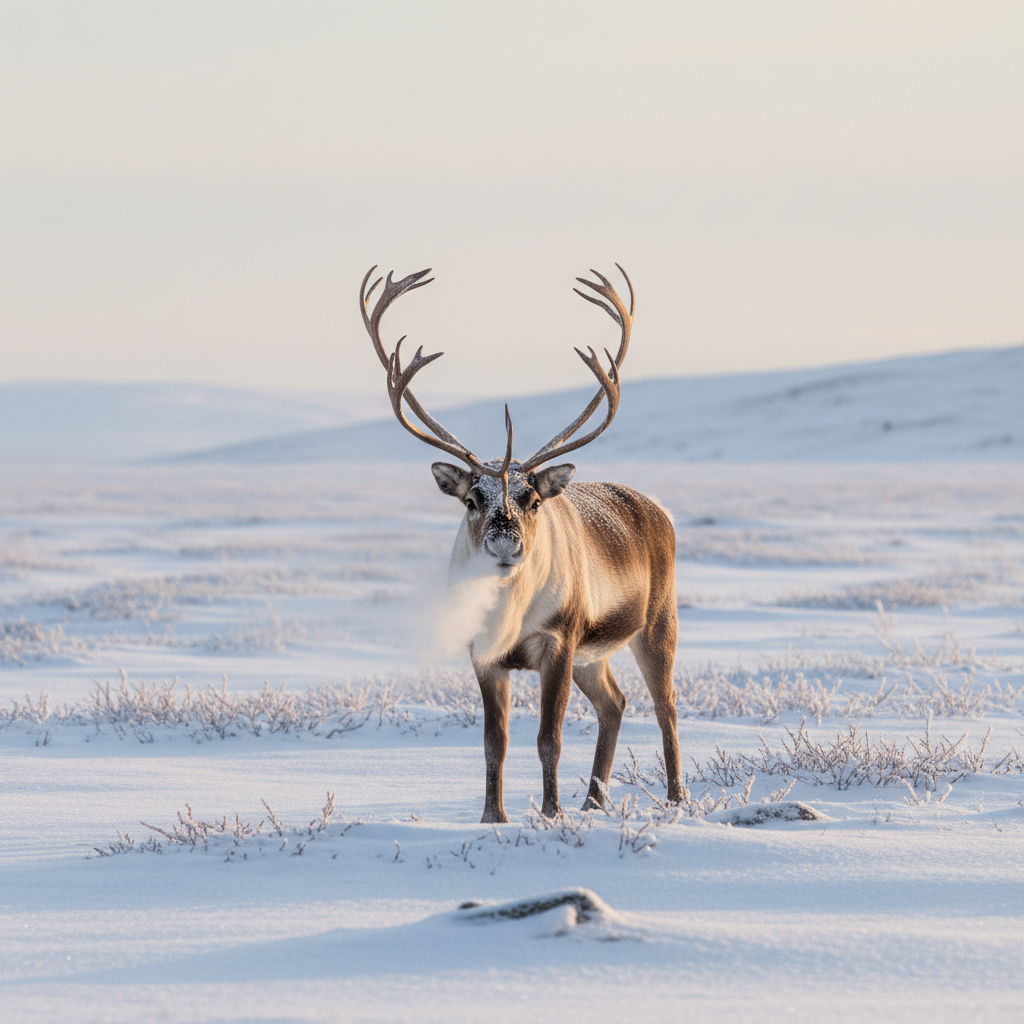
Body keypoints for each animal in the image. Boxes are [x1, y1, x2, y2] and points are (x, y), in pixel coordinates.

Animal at [359, 264, 683, 823]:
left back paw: (675, 801)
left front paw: (550, 815)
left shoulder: (558, 642)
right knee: (615, 704)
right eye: (472, 498)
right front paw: (493, 817)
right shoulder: (484, 654)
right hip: (593, 655)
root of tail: (657, 510)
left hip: (655, 623)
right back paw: (594, 801)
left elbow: (548, 739)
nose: (505, 543)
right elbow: (496, 742)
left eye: (531, 499)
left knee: (666, 707)